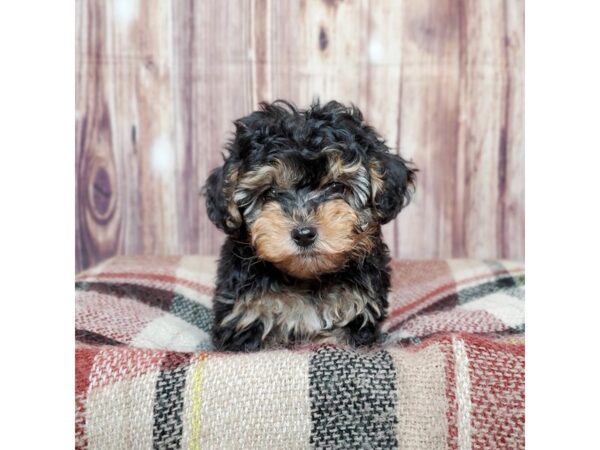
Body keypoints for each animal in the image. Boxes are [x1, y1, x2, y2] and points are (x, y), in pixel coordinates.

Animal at [204, 100, 414, 350]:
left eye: (335, 186)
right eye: (270, 192)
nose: (304, 234)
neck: (307, 279)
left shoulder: (358, 310)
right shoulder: (246, 314)